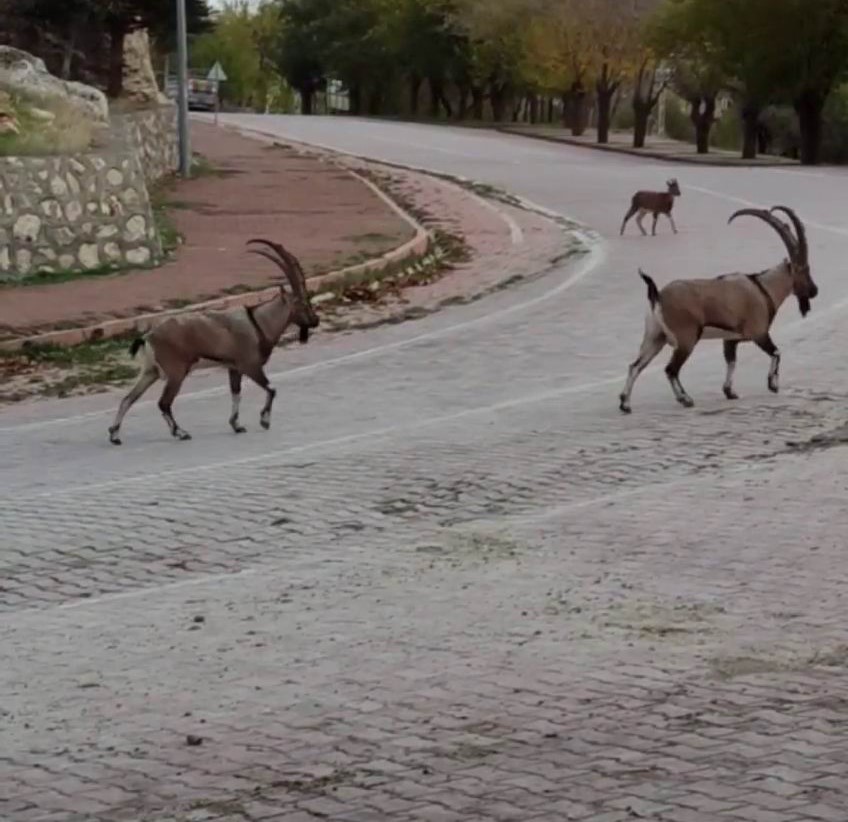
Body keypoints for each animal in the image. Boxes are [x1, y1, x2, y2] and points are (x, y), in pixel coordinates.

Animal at [106, 238, 318, 444]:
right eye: (302, 302)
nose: (315, 320)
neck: (259, 323)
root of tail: (148, 337)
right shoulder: (250, 365)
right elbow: (271, 389)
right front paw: (264, 421)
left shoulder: (234, 368)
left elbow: (236, 393)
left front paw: (236, 425)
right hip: (176, 372)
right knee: (163, 402)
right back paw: (180, 433)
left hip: (150, 372)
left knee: (128, 399)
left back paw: (115, 436)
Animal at [620, 204, 820, 412]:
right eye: (805, 269)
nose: (815, 290)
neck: (763, 288)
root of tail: (657, 296)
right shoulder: (758, 333)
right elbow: (776, 353)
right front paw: (773, 385)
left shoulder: (730, 339)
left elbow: (731, 361)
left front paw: (730, 392)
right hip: (686, 339)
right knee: (670, 369)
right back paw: (685, 399)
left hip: (654, 337)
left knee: (635, 366)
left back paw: (625, 404)